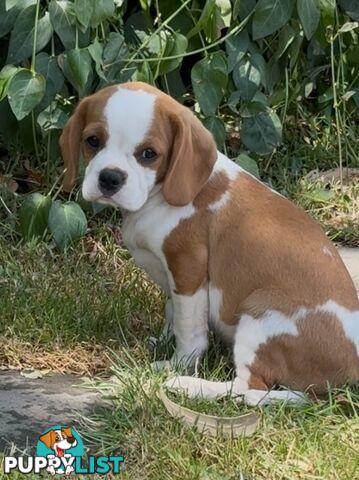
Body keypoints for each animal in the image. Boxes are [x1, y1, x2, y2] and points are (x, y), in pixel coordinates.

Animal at [59, 82, 359, 404]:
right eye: (92, 141)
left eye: (149, 154)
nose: (110, 178)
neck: (159, 195)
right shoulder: (173, 281)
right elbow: (172, 312)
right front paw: (162, 341)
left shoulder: (188, 271)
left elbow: (189, 330)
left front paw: (177, 364)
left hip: (260, 311)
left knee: (249, 390)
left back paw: (189, 385)